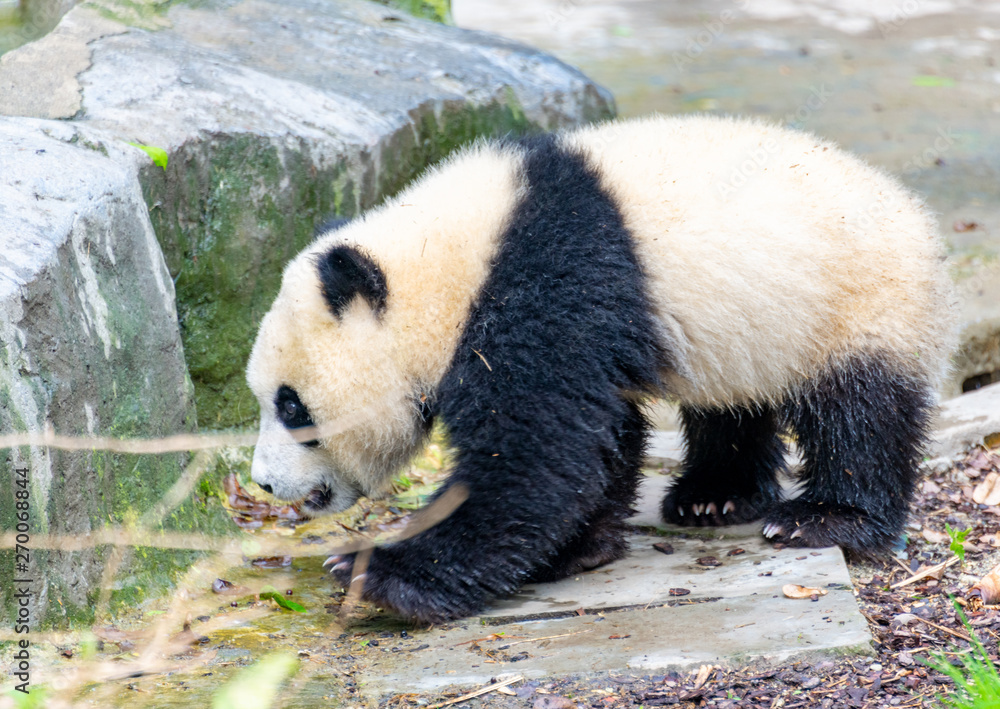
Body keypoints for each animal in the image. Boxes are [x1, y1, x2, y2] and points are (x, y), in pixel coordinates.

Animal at [247, 114, 956, 624]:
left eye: (290, 405)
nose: (264, 484)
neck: (445, 261)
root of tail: (918, 215)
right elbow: (596, 437)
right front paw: (580, 548)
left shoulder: (543, 279)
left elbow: (536, 453)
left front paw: (377, 572)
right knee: (734, 402)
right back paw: (714, 496)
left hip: (855, 298)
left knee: (860, 412)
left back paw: (825, 517)